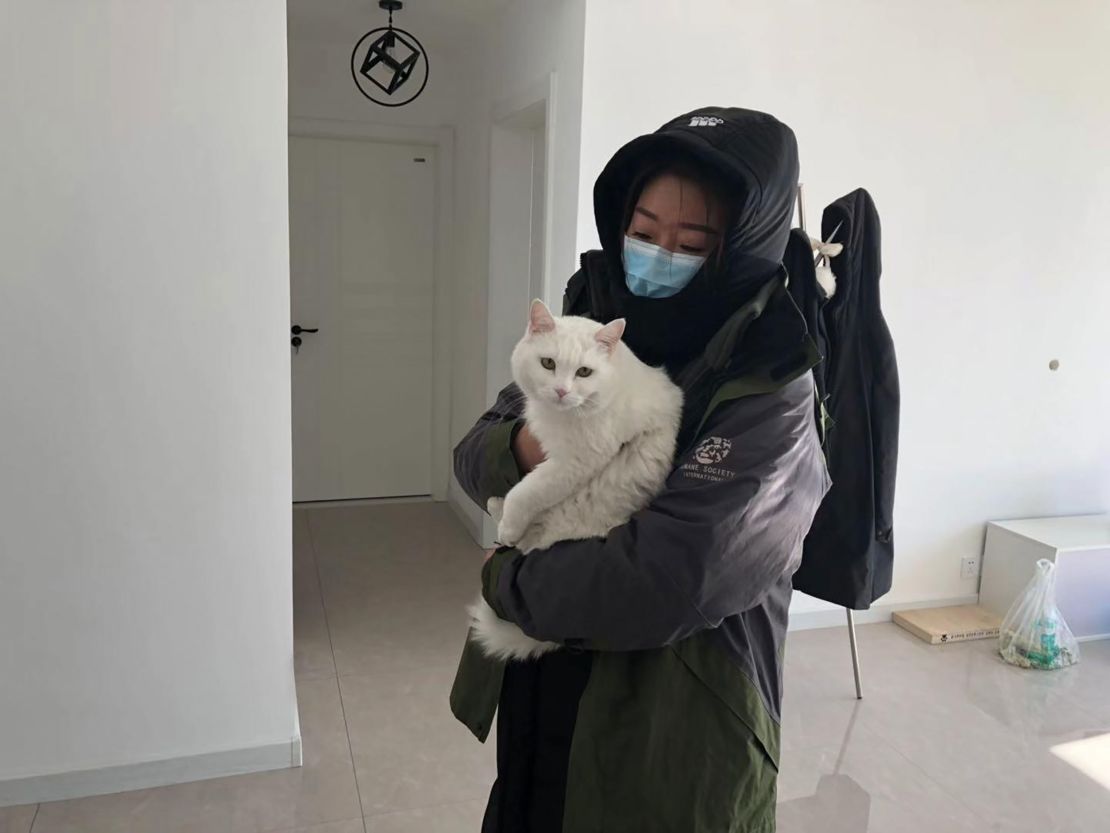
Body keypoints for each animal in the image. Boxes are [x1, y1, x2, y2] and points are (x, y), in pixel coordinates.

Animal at [468, 304, 683, 661]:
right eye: (548, 364)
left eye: (584, 372)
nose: (561, 391)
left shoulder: (573, 463)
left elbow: (525, 493)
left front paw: (509, 524)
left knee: (521, 533)